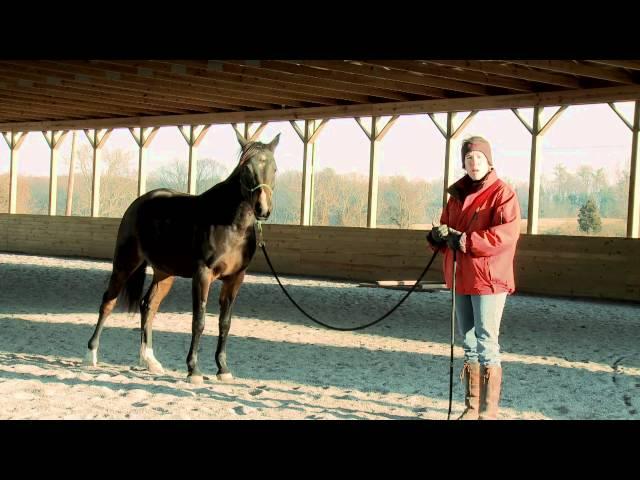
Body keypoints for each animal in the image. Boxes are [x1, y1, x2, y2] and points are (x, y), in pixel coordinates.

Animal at [83, 130, 280, 382]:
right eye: (246, 168)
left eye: (274, 168)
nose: (262, 209)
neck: (230, 223)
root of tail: (138, 203)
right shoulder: (202, 275)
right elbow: (199, 321)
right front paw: (193, 369)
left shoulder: (236, 278)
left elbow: (224, 323)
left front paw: (223, 369)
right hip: (124, 265)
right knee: (108, 302)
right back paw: (91, 355)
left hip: (164, 272)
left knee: (148, 306)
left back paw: (150, 361)